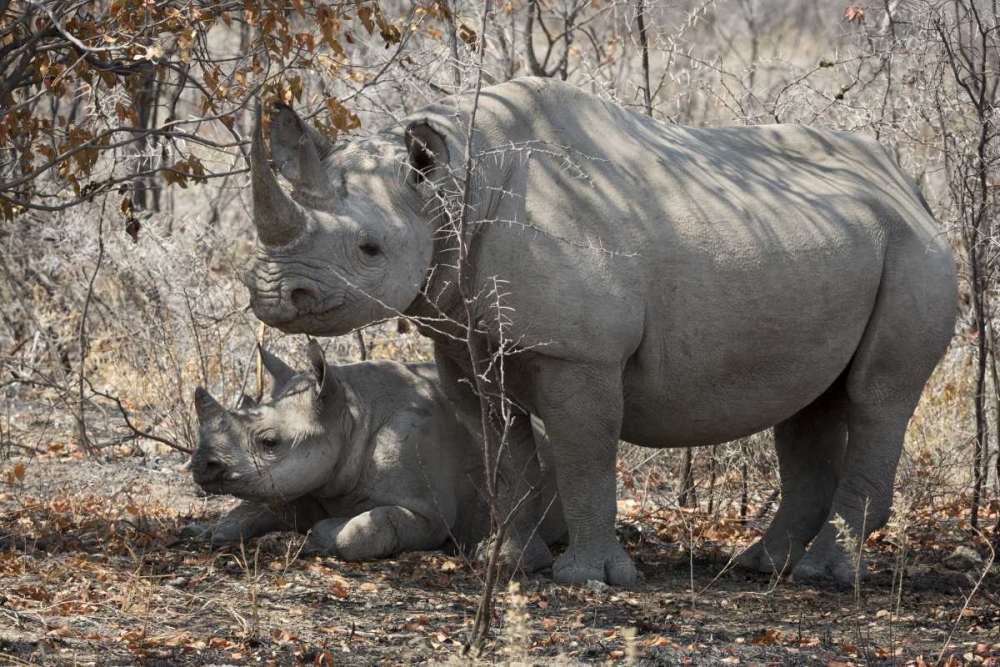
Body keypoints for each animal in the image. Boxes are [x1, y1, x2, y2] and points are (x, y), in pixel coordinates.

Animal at [187, 340, 565, 561]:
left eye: (269, 443)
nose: (201, 466)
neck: (350, 412)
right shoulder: (313, 482)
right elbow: (256, 508)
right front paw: (207, 533)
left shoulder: (427, 513)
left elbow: (358, 530)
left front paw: (313, 538)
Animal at [242, 77, 958, 586]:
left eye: (369, 249)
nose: (273, 294)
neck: (454, 187)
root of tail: (911, 185)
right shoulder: (463, 344)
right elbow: (502, 449)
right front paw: (504, 563)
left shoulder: (578, 355)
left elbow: (582, 451)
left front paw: (589, 579)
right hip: (833, 244)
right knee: (810, 403)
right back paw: (761, 566)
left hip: (913, 251)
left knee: (878, 395)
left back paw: (827, 576)